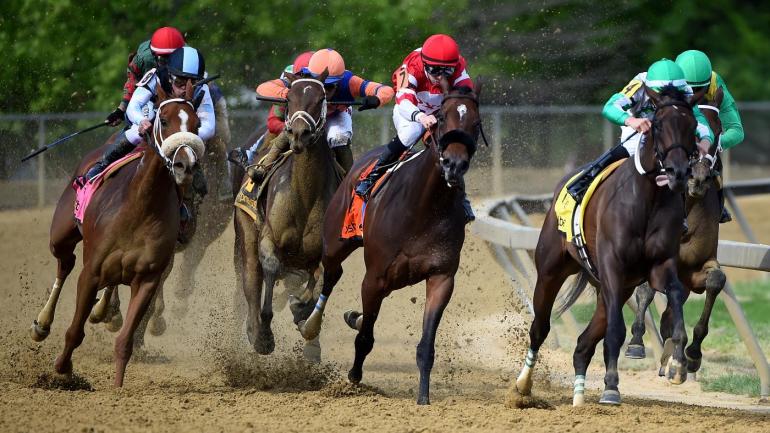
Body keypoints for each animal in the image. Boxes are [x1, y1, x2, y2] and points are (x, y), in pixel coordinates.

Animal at [30, 83, 204, 386]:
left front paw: (118, 387)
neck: (141, 206)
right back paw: (42, 323)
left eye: (197, 124)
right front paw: (63, 369)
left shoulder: (147, 279)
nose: (186, 165)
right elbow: (74, 331)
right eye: (164, 120)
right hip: (60, 236)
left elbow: (125, 341)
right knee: (65, 265)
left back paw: (103, 311)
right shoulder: (91, 272)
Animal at [233, 71, 337, 359]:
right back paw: (252, 329)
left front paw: (303, 313)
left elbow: (321, 278)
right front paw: (264, 336)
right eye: (289, 98)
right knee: (251, 280)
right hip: (246, 233)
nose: (300, 133)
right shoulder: (269, 239)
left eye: (321, 98)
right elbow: (269, 267)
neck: (305, 194)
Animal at [298, 82, 483, 405]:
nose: (454, 165)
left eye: (475, 122)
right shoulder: (374, 278)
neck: (424, 206)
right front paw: (353, 378)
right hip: (335, 242)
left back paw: (353, 316)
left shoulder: (441, 277)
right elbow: (365, 338)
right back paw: (311, 323)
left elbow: (426, 346)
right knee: (331, 276)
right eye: (442, 118)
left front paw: (423, 398)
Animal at [513, 84, 704, 406]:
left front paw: (678, 363)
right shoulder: (613, 266)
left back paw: (578, 398)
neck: (647, 199)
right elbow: (615, 331)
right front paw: (612, 387)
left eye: (692, 126)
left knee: (583, 344)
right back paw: (523, 385)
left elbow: (676, 294)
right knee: (540, 328)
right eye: (658, 124)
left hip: (612, 285)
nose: (677, 173)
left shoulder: (658, 265)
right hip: (551, 271)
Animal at [626, 87, 726, 374]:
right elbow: (647, 291)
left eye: (719, 130)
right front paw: (637, 341)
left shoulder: (698, 268)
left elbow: (716, 281)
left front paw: (692, 353)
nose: (698, 178)